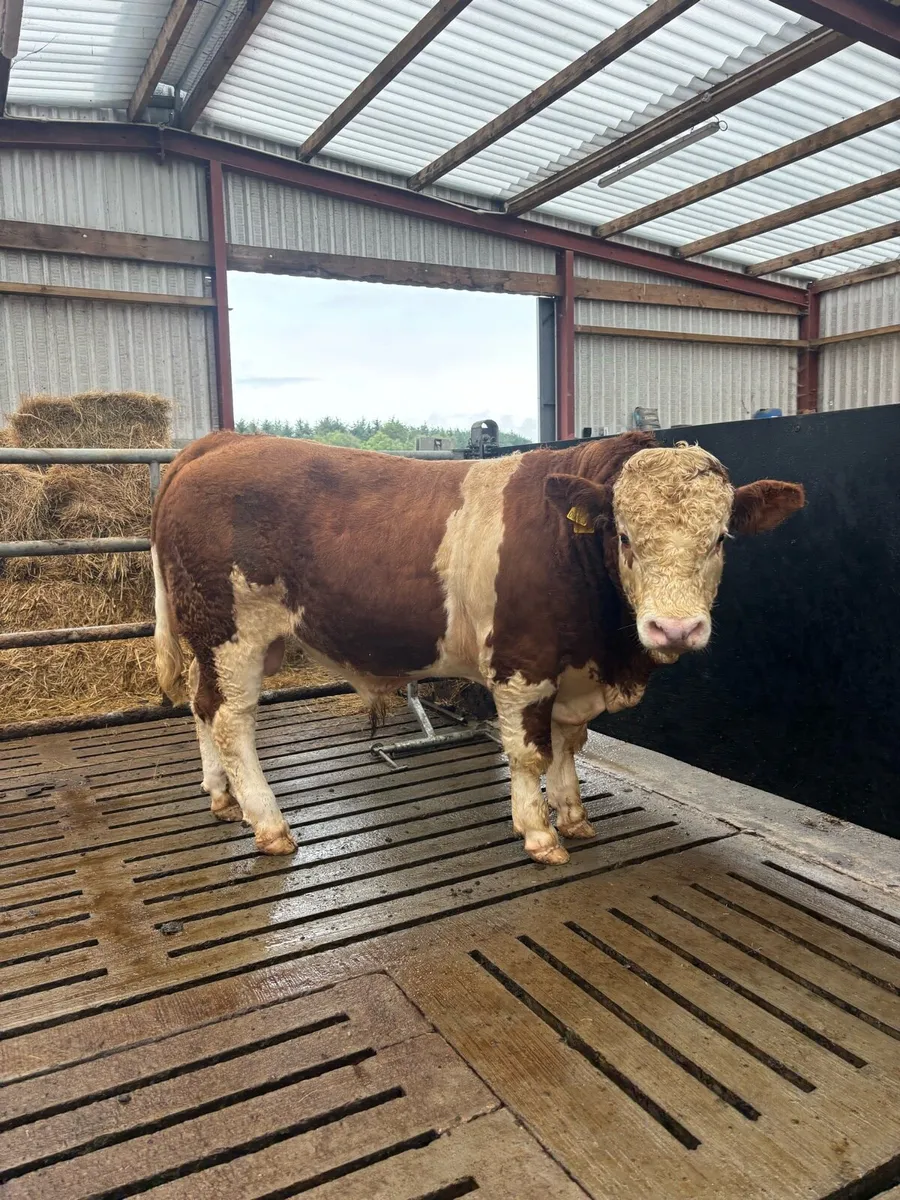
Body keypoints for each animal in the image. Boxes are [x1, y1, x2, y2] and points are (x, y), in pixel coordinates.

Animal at [151, 430, 804, 864]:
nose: (675, 628)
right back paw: (269, 824)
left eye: (720, 537)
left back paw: (221, 797)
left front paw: (574, 815)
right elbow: (530, 753)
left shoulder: (572, 674)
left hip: (221, 641)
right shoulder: (524, 664)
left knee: (201, 705)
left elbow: (569, 746)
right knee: (231, 720)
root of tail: (220, 441)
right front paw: (539, 833)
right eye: (624, 536)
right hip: (231, 633)